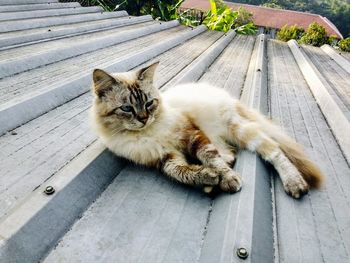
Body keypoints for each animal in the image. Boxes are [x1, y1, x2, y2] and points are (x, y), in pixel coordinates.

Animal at [90, 61, 322, 198]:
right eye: (127, 108)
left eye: (149, 104)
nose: (144, 119)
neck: (147, 134)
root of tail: (228, 97)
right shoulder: (165, 158)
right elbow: (181, 172)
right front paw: (208, 177)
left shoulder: (192, 136)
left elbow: (211, 158)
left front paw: (227, 179)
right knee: (229, 154)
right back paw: (211, 186)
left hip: (239, 130)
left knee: (274, 150)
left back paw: (295, 184)